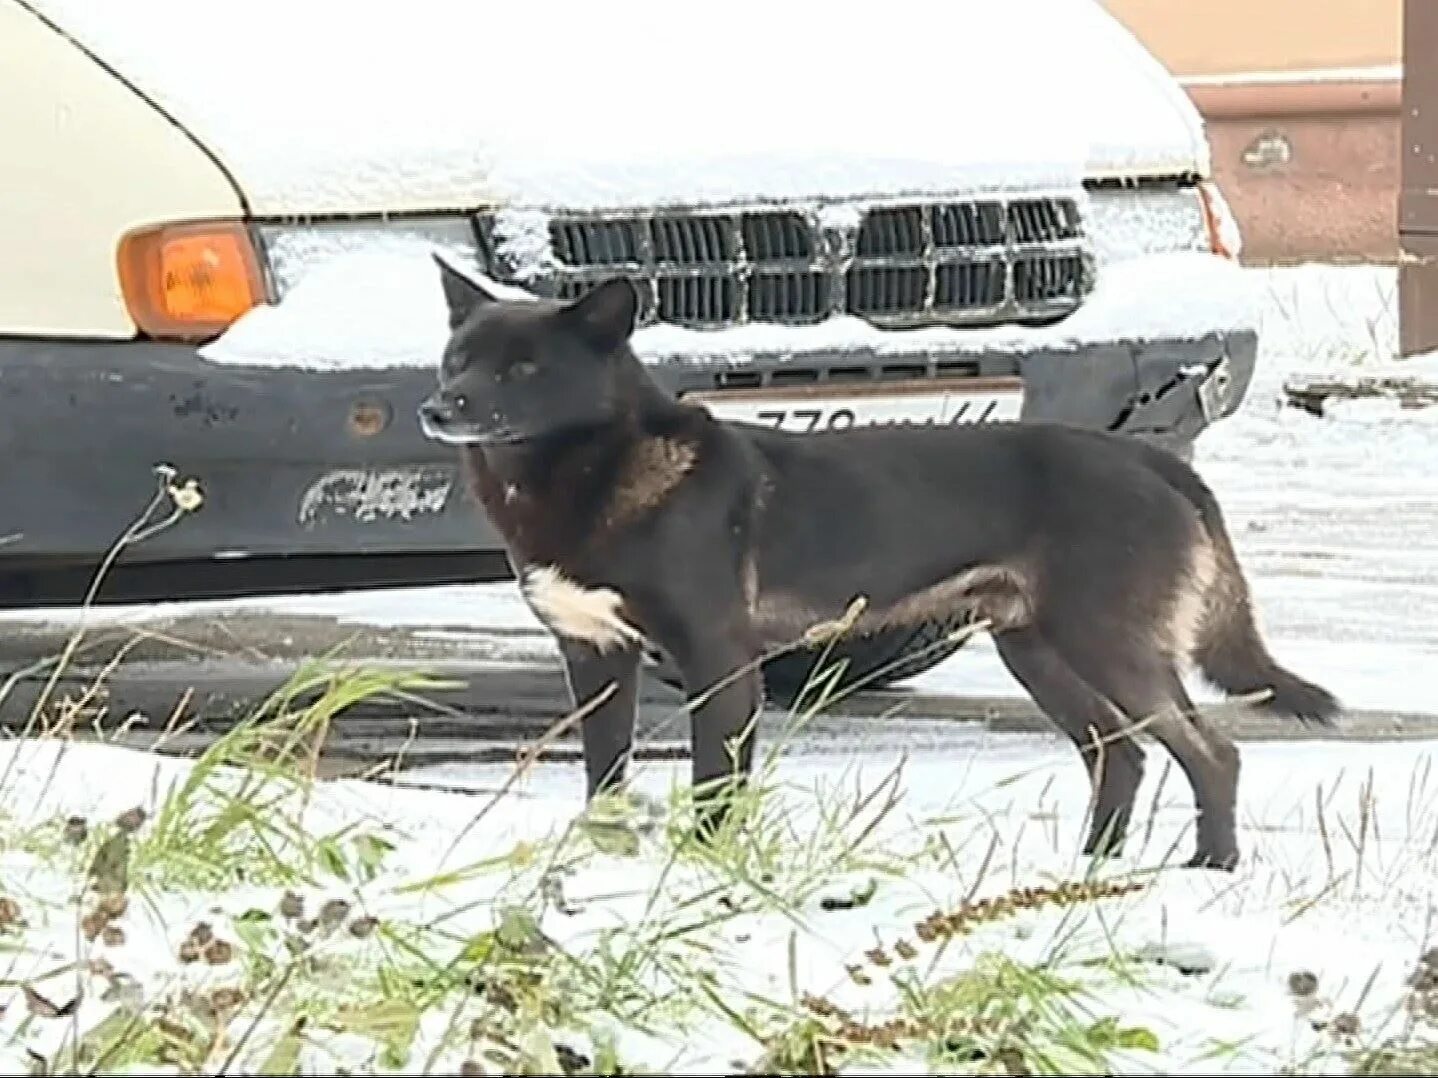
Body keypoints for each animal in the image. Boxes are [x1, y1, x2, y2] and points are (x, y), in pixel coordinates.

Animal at [419, 257, 1340, 873]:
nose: (437, 408)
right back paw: (1090, 870)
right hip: (1039, 651)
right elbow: (603, 779)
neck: (593, 469)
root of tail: (1150, 462)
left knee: (1209, 753)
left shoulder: (720, 665)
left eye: (524, 368)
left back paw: (1208, 870)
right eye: (456, 360)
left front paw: (707, 873)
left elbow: (717, 784)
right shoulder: (595, 659)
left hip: (1109, 642)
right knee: (1123, 756)